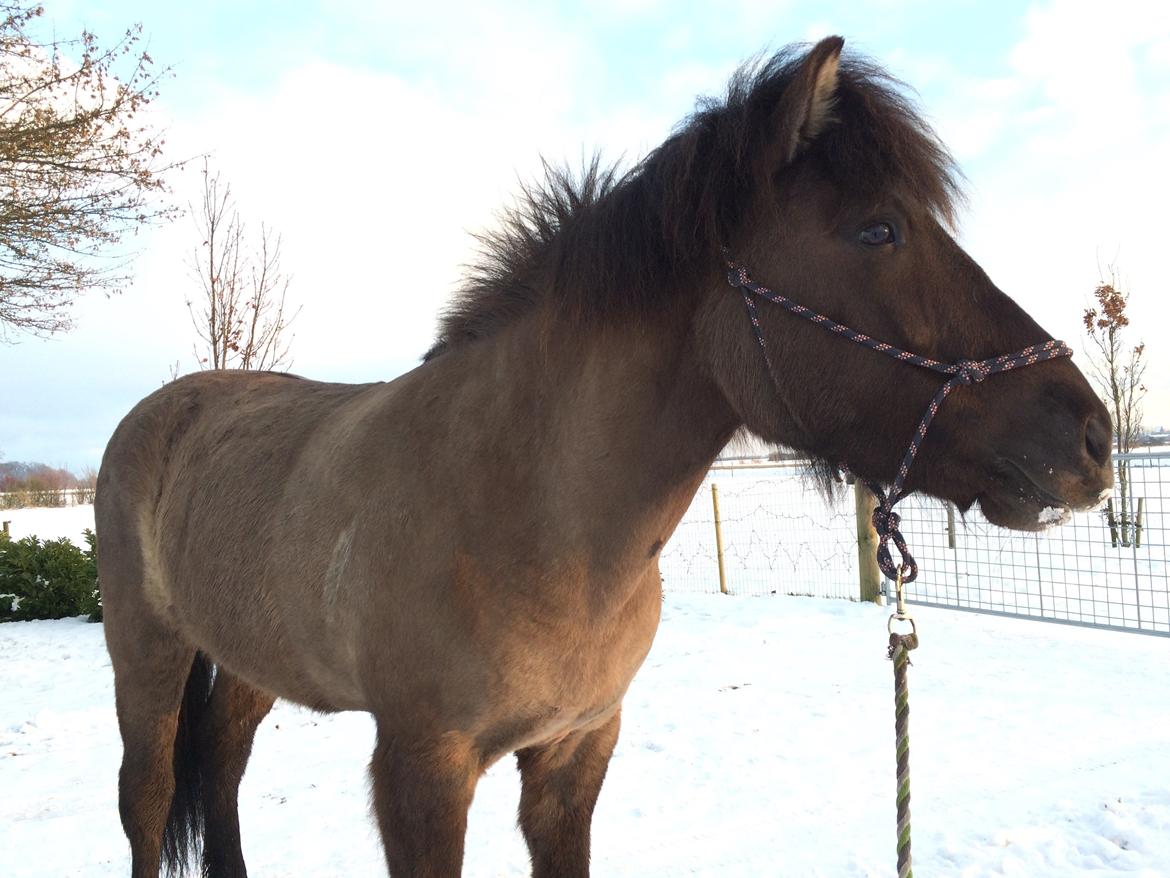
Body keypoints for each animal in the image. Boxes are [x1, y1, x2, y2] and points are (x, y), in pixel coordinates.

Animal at [95, 37, 1109, 875]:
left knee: (222, 774)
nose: (1091, 440)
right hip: (146, 657)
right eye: (878, 230)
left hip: (249, 661)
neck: (533, 513)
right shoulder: (422, 771)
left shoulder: (575, 755)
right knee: (149, 802)